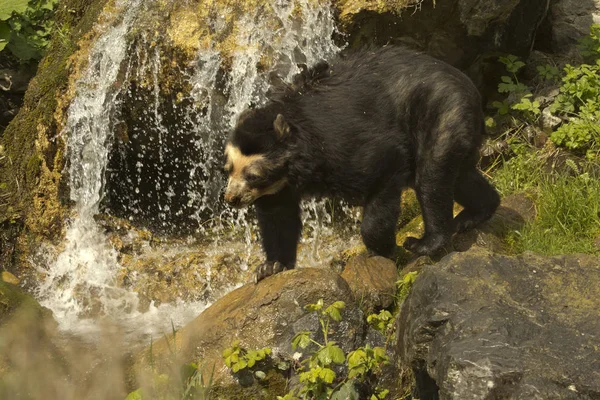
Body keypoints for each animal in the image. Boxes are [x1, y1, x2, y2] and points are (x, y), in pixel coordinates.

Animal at [223, 47, 500, 282]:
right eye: (227, 169)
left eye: (254, 175)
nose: (231, 198)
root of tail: (469, 85)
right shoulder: (278, 188)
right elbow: (278, 218)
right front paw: (270, 267)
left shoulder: (345, 145)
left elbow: (382, 170)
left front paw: (386, 248)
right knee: (461, 177)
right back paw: (473, 216)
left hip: (441, 113)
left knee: (432, 178)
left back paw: (424, 242)